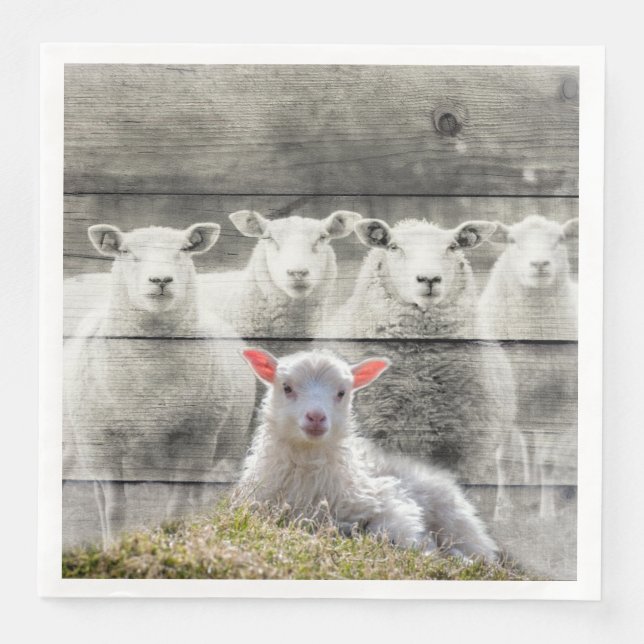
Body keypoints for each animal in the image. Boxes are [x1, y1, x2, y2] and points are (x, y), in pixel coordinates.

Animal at [63, 222, 256, 546]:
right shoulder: (104, 446)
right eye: (126, 252)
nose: (161, 280)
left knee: (197, 496)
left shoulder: (195, 441)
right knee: (101, 500)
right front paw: (115, 546)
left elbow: (176, 507)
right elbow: (115, 508)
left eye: (184, 250)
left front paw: (173, 540)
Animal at [238, 348, 498, 560]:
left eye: (341, 393)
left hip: (456, 520)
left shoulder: (389, 500)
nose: (316, 417)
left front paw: (428, 550)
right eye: (287, 388)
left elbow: (390, 531)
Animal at [478, 215, 579, 517]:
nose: (540, 264)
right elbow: (503, 459)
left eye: (560, 239)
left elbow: (549, 461)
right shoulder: (504, 401)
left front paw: (547, 514)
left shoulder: (560, 405)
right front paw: (502, 511)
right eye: (512, 241)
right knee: (526, 446)